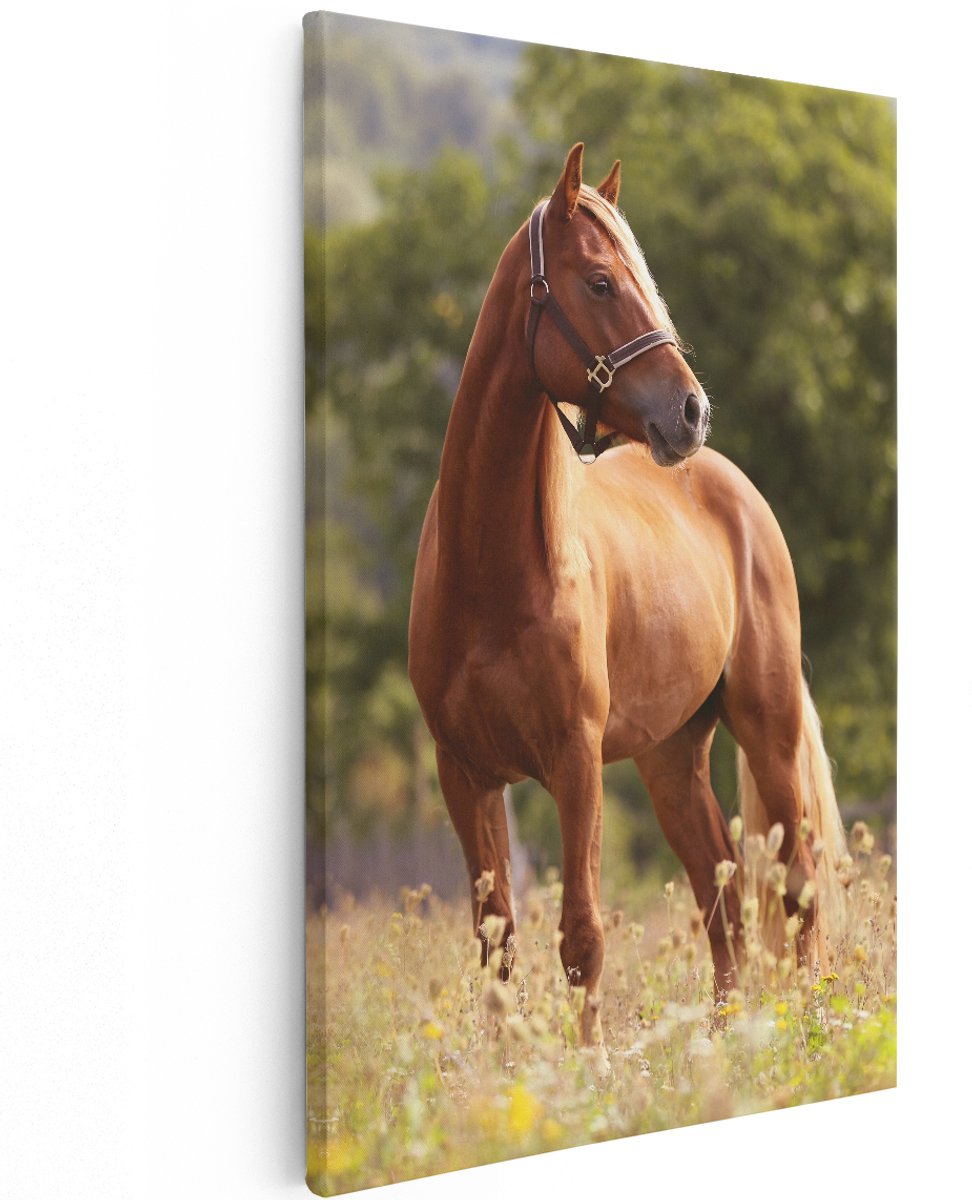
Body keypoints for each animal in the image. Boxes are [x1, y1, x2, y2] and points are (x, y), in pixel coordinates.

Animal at [408, 143, 847, 1053]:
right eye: (602, 282)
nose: (691, 411)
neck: (492, 572)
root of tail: (735, 488)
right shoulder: (465, 773)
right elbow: (496, 944)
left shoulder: (575, 763)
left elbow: (581, 936)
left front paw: (591, 1068)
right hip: (670, 756)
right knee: (723, 896)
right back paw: (725, 1041)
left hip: (769, 726)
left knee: (796, 885)